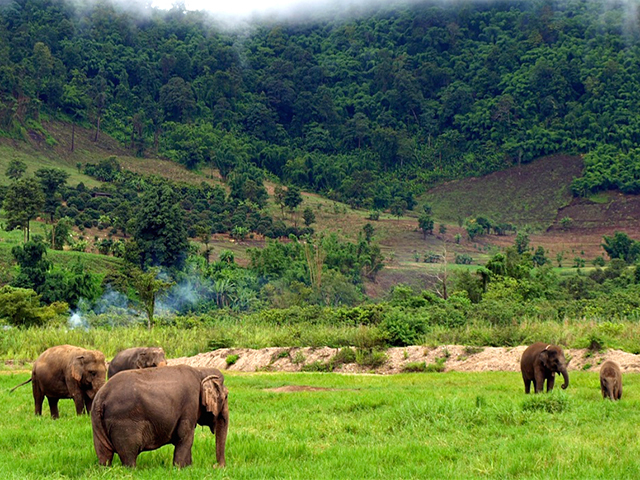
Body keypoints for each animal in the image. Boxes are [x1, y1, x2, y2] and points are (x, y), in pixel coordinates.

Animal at [90, 366, 228, 466]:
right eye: (226, 396)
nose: (215, 467)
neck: (201, 371)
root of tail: (101, 396)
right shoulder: (190, 406)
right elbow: (185, 436)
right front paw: (181, 468)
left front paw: (189, 467)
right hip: (123, 423)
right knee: (129, 454)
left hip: (96, 422)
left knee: (104, 453)